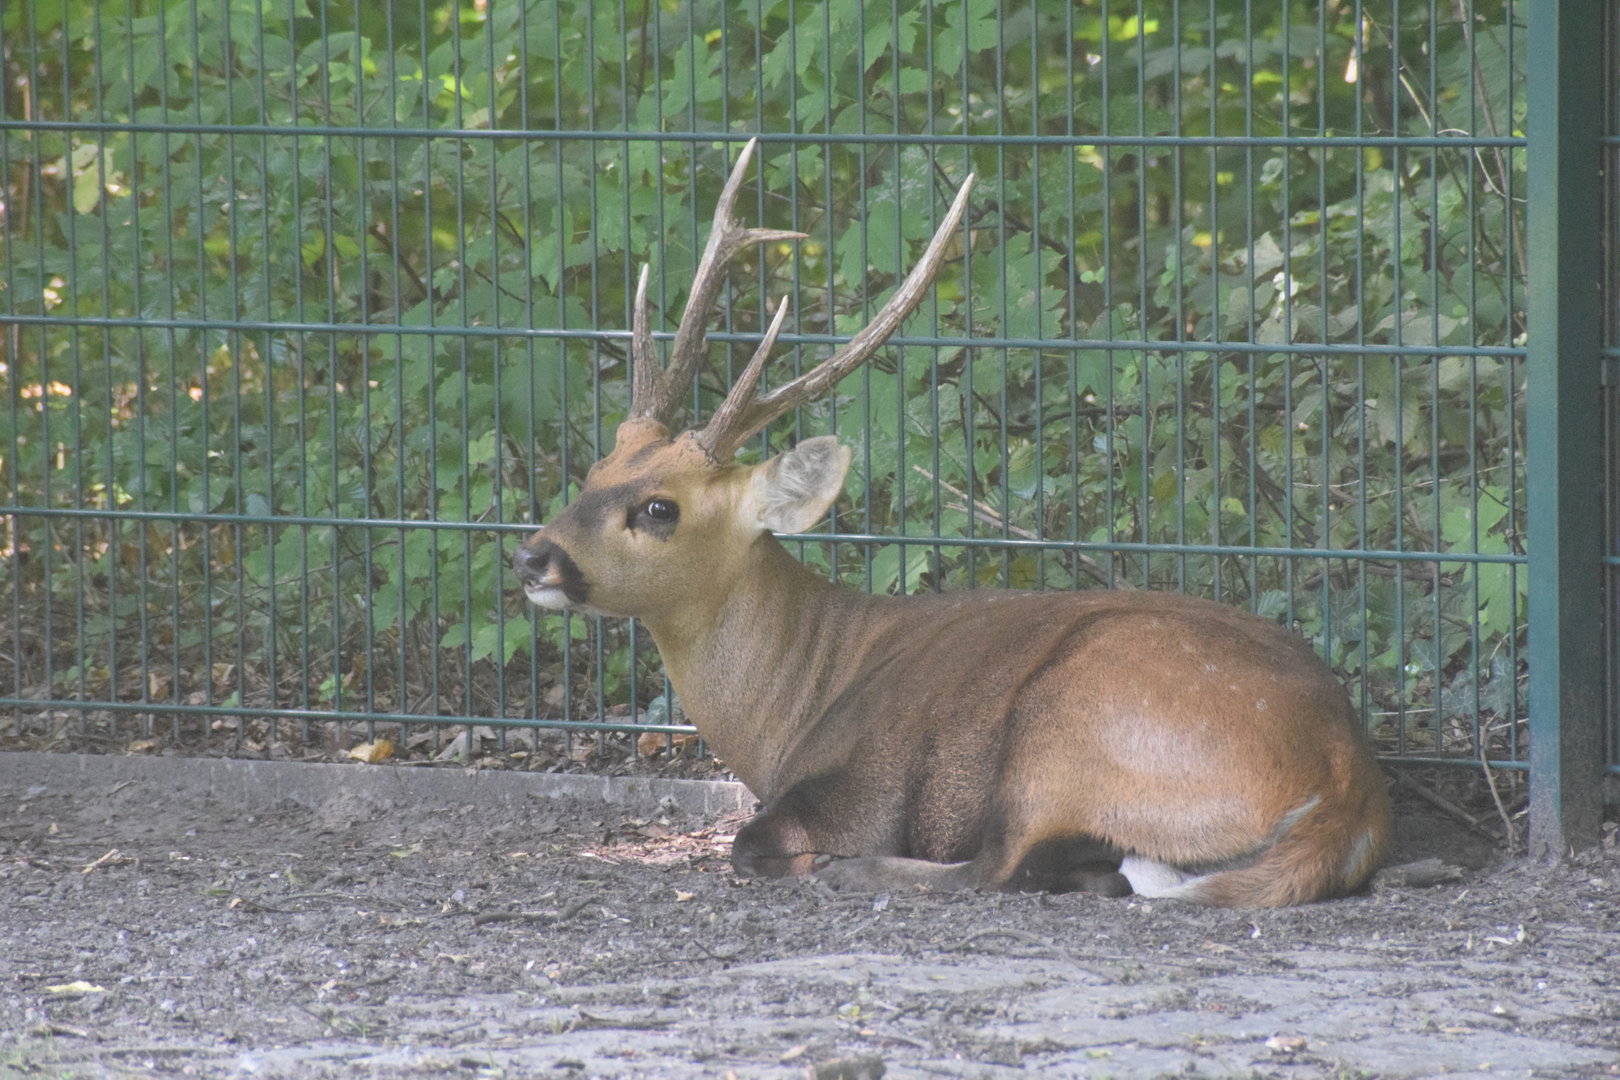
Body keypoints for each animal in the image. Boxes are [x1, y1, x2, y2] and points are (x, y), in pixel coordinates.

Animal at [512, 139, 1392, 907]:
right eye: (595, 472)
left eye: (659, 508)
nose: (533, 556)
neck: (792, 702)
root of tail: (1347, 790)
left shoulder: (860, 789)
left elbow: (750, 844)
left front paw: (824, 860)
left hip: (1065, 729)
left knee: (1000, 868)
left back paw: (861, 872)